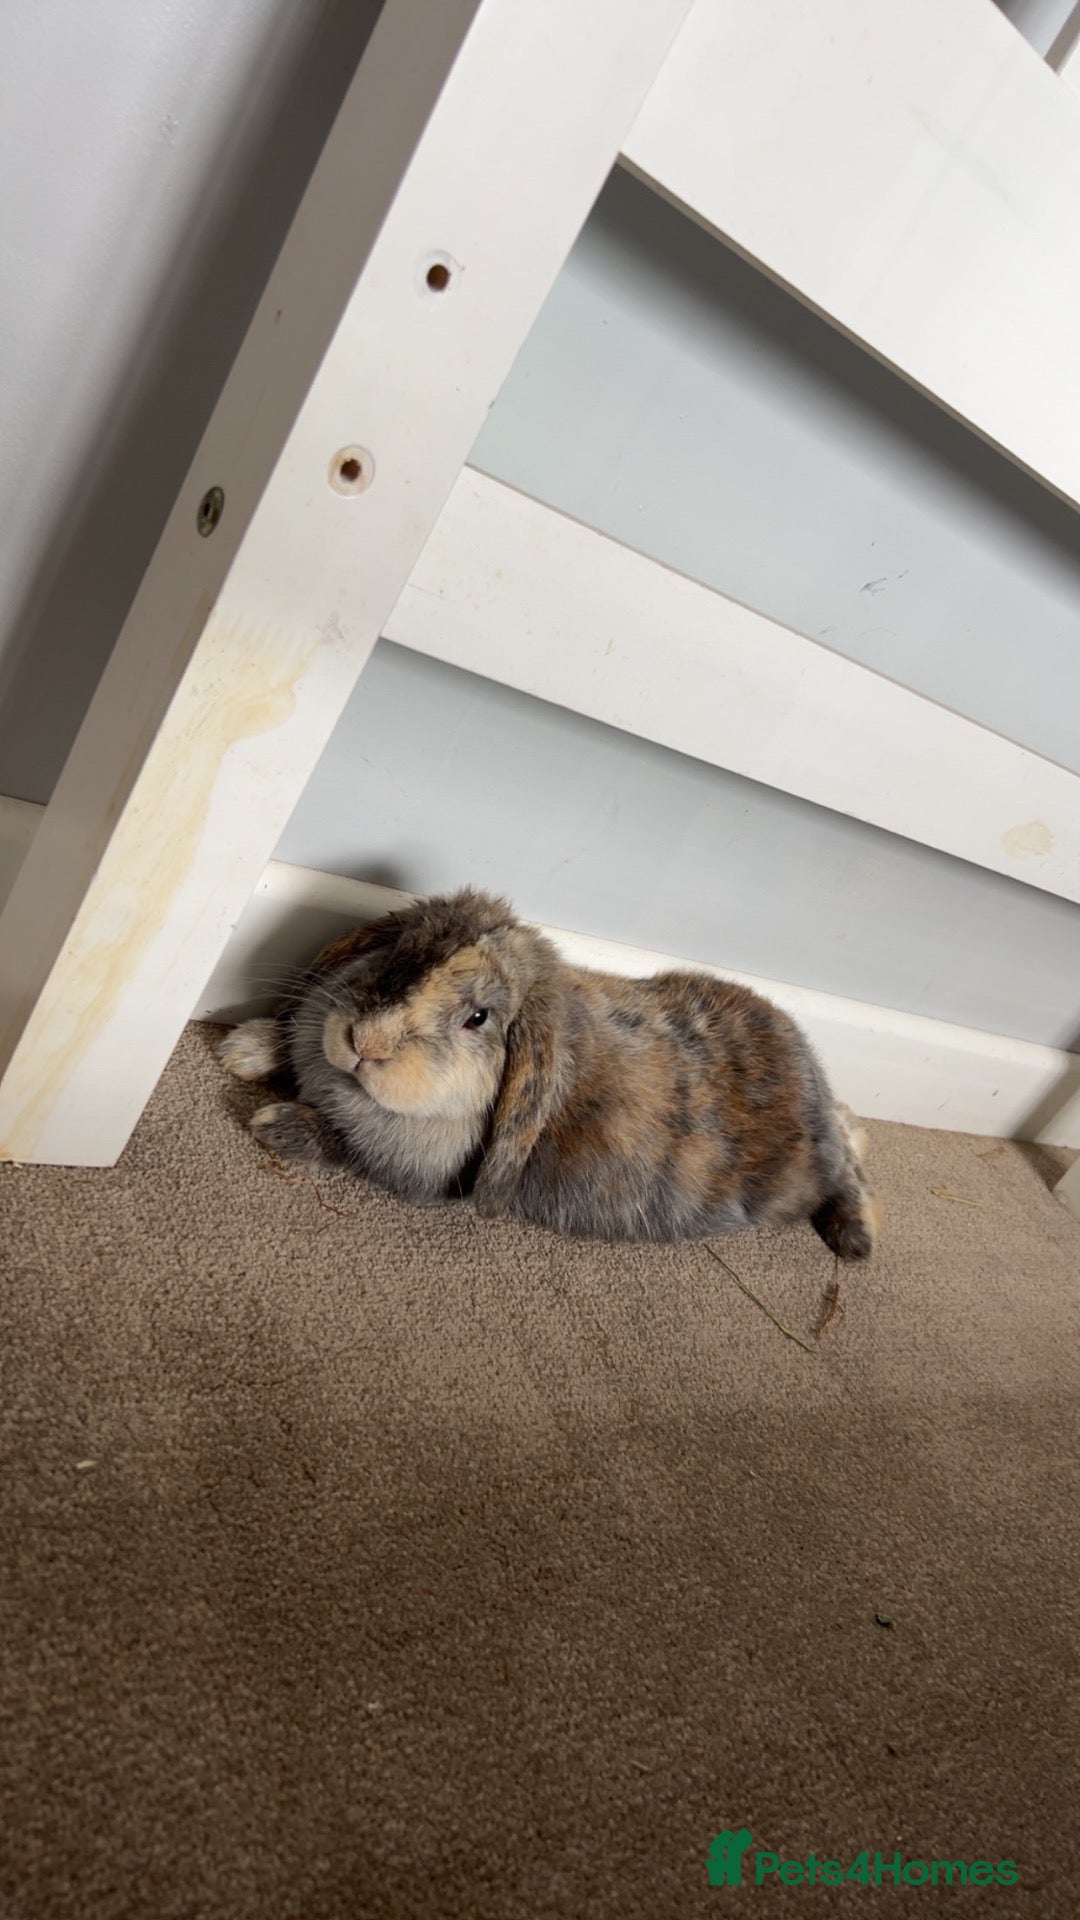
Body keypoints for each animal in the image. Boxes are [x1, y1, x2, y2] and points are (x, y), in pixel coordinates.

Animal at [219, 887, 879, 1256]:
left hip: (803, 1178)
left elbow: (342, 1144)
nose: (365, 1042)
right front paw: (242, 1048)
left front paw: (273, 1122)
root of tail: (816, 1083)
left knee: (850, 1167)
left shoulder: (413, 1170)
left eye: (478, 1018)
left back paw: (855, 1241)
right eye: (399, 953)